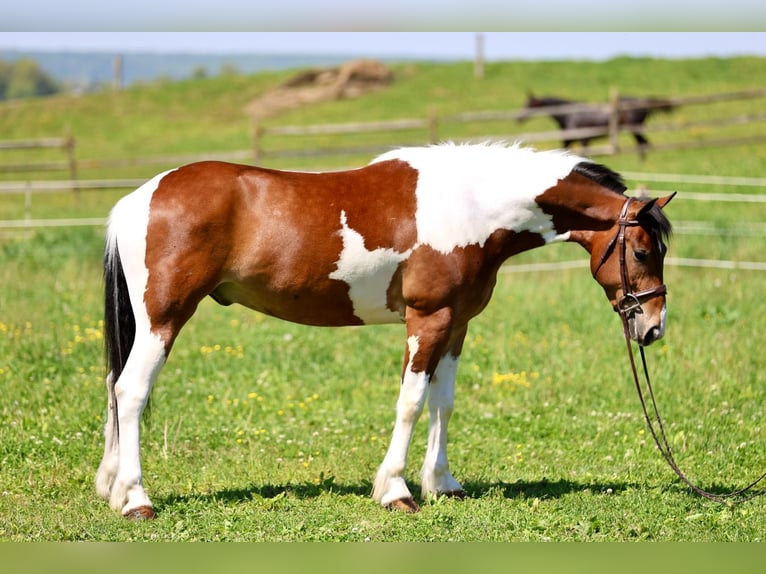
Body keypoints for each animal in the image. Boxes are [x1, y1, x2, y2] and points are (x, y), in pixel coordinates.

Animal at [96, 142, 674, 519]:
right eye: (644, 251)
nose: (652, 327)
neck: (471, 207)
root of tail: (138, 199)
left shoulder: (456, 325)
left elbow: (443, 403)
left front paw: (443, 484)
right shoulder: (427, 320)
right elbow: (411, 402)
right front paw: (397, 490)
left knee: (113, 387)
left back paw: (112, 487)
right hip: (164, 318)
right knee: (132, 392)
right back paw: (137, 499)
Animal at [521, 93, 674, 158]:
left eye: (530, 104)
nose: (518, 118)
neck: (569, 115)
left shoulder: (583, 139)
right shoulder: (570, 140)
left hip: (635, 128)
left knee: (644, 143)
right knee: (643, 144)